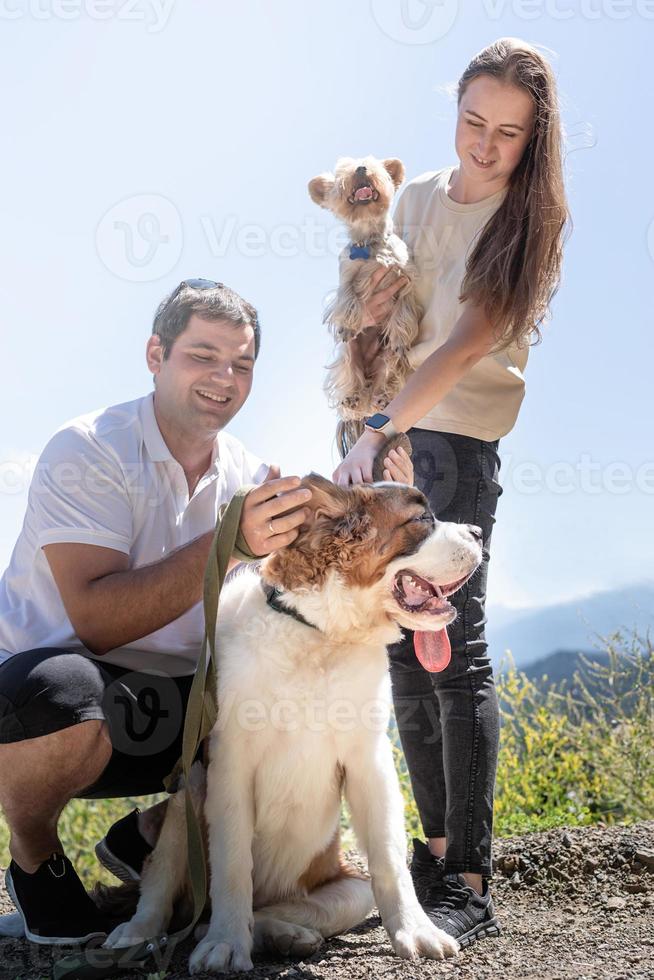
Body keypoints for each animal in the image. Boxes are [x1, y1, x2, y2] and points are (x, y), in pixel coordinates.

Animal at [104, 476, 482, 972]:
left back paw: (287, 936)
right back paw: (139, 932)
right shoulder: (229, 766)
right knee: (161, 883)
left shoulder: (370, 762)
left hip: (347, 886)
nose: (479, 532)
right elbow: (231, 865)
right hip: (188, 794)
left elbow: (389, 861)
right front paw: (226, 943)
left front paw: (416, 931)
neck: (319, 635)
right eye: (421, 519)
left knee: (280, 909)